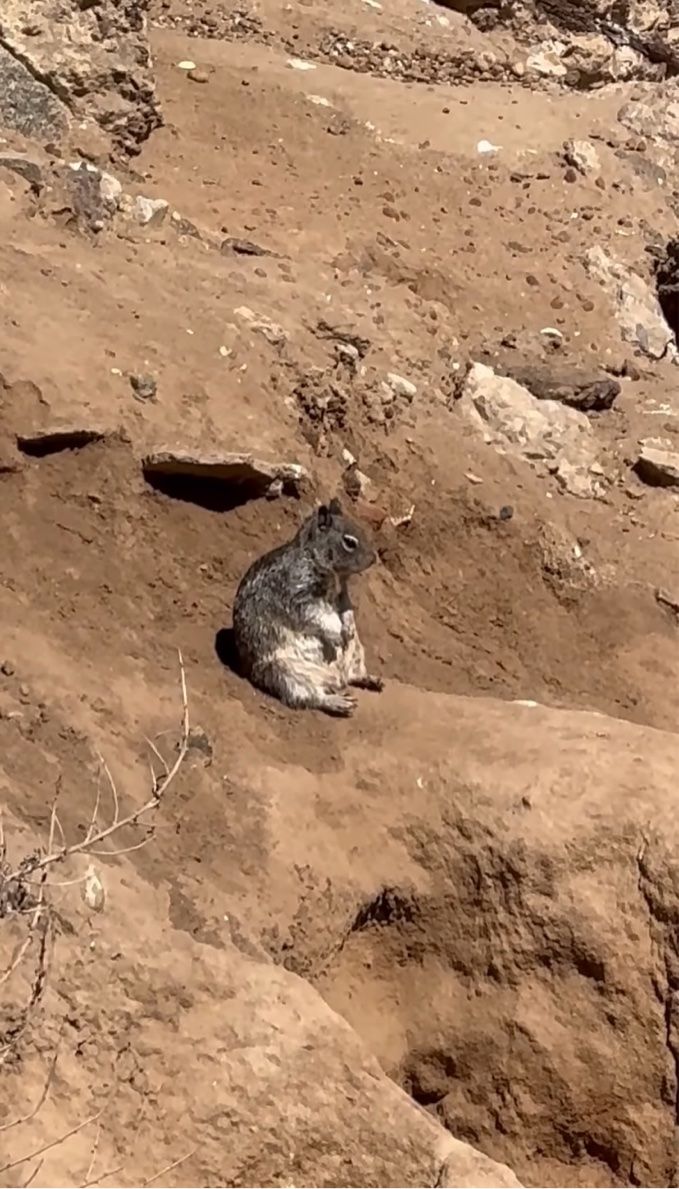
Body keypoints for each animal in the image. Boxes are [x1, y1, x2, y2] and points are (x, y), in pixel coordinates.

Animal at [232, 497, 383, 717]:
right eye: (349, 542)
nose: (373, 558)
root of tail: (336, 679)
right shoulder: (298, 594)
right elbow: (314, 615)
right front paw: (336, 634)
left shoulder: (343, 594)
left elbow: (347, 609)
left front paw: (348, 627)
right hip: (287, 673)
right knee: (310, 697)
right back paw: (337, 701)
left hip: (356, 652)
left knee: (353, 675)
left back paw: (370, 679)